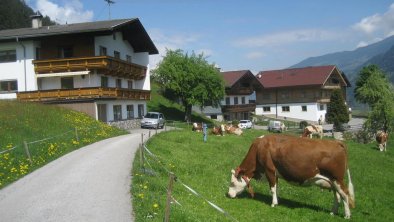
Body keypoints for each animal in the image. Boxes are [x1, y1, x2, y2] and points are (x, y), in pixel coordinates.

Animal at [226, 134, 356, 219]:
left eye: (232, 182)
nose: (229, 194)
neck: (259, 148)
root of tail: (336, 142)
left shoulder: (269, 170)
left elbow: (272, 188)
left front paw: (273, 203)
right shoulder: (275, 174)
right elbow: (276, 188)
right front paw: (277, 201)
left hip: (337, 178)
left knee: (345, 194)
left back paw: (347, 215)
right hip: (332, 181)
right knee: (337, 196)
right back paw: (333, 212)